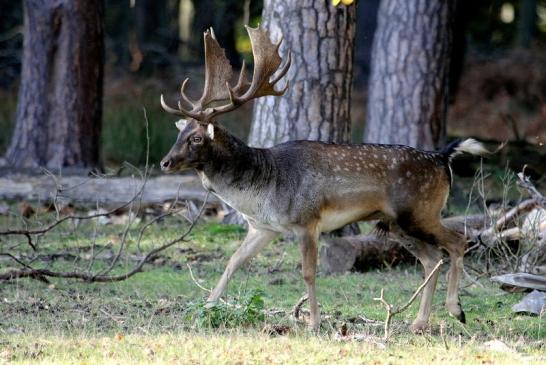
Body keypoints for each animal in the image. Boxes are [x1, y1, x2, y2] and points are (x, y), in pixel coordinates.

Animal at [158, 27, 484, 332]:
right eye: (180, 132)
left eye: (197, 138)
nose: (165, 162)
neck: (261, 189)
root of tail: (442, 157)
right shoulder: (263, 227)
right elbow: (233, 261)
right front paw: (205, 309)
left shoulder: (307, 220)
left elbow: (308, 272)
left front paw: (313, 322)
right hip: (396, 223)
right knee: (432, 259)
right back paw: (420, 322)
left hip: (421, 211)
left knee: (457, 242)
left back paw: (456, 310)